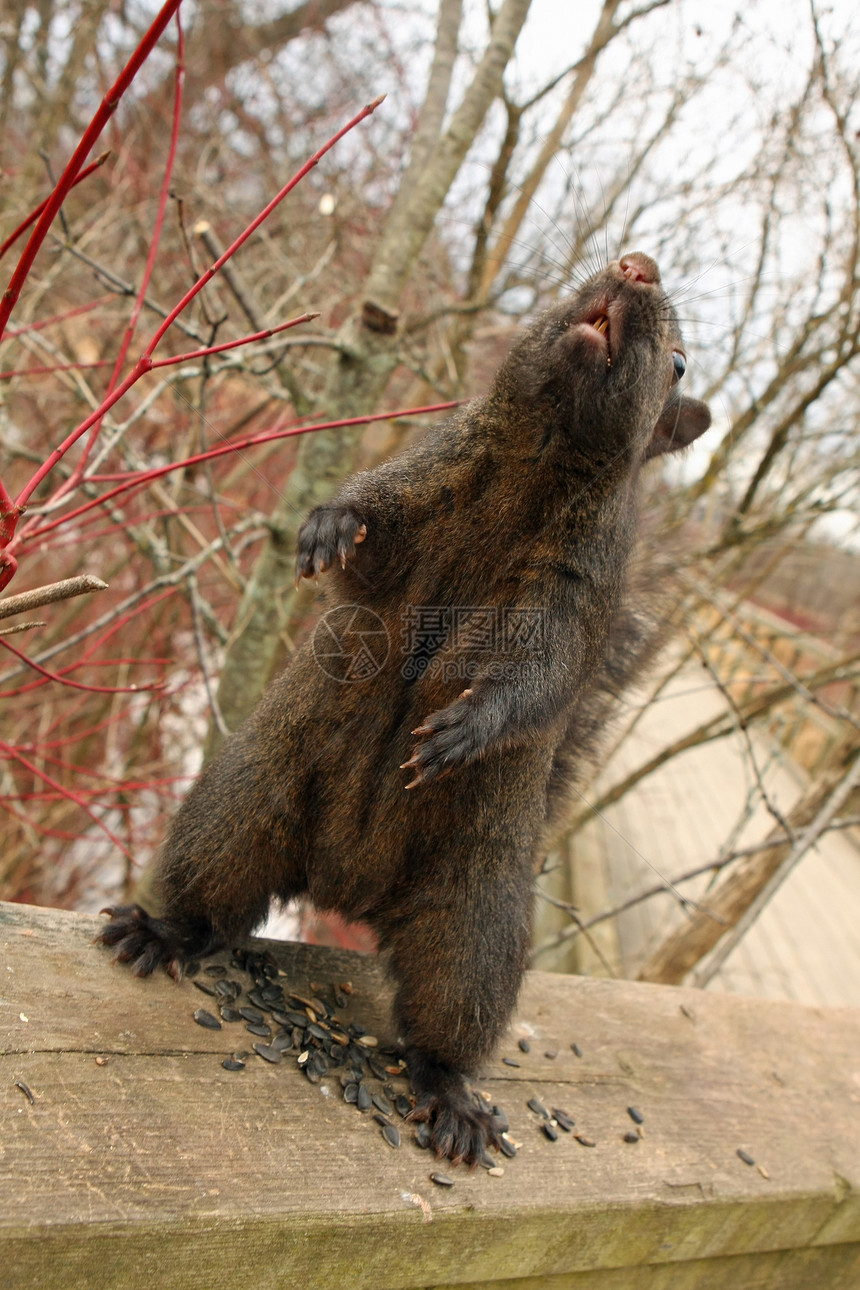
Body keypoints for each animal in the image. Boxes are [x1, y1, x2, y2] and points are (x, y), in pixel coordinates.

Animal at [96, 251, 711, 1171]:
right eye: (579, 282)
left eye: (677, 364)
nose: (637, 265)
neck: (540, 457)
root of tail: (346, 891)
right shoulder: (423, 482)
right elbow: (369, 546)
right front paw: (326, 527)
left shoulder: (576, 591)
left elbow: (537, 678)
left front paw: (466, 727)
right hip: (238, 813)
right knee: (214, 906)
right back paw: (166, 933)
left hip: (472, 929)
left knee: (441, 1027)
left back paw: (451, 1098)